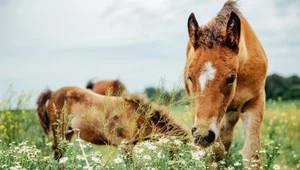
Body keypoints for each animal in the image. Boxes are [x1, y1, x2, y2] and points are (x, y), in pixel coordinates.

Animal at [36, 86, 189, 159]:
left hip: (68, 133)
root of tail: (53, 92)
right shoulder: (125, 146)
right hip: (60, 132)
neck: (137, 115)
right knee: (58, 154)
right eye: (180, 150)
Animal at [185, 0, 268, 168]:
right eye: (190, 77)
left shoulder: (254, 102)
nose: (202, 135)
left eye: (231, 78)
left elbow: (252, 153)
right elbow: (216, 150)